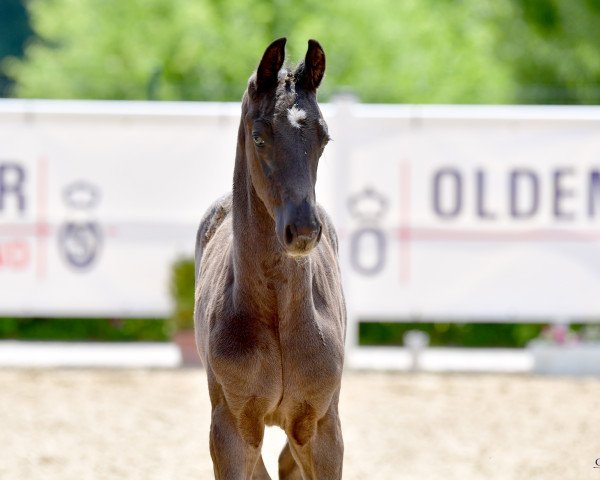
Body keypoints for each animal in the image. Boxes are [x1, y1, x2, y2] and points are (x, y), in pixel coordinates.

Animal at [196, 38, 344, 480]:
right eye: (259, 138)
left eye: (324, 138)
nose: (304, 230)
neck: (280, 315)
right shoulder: (230, 429)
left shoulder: (322, 427)